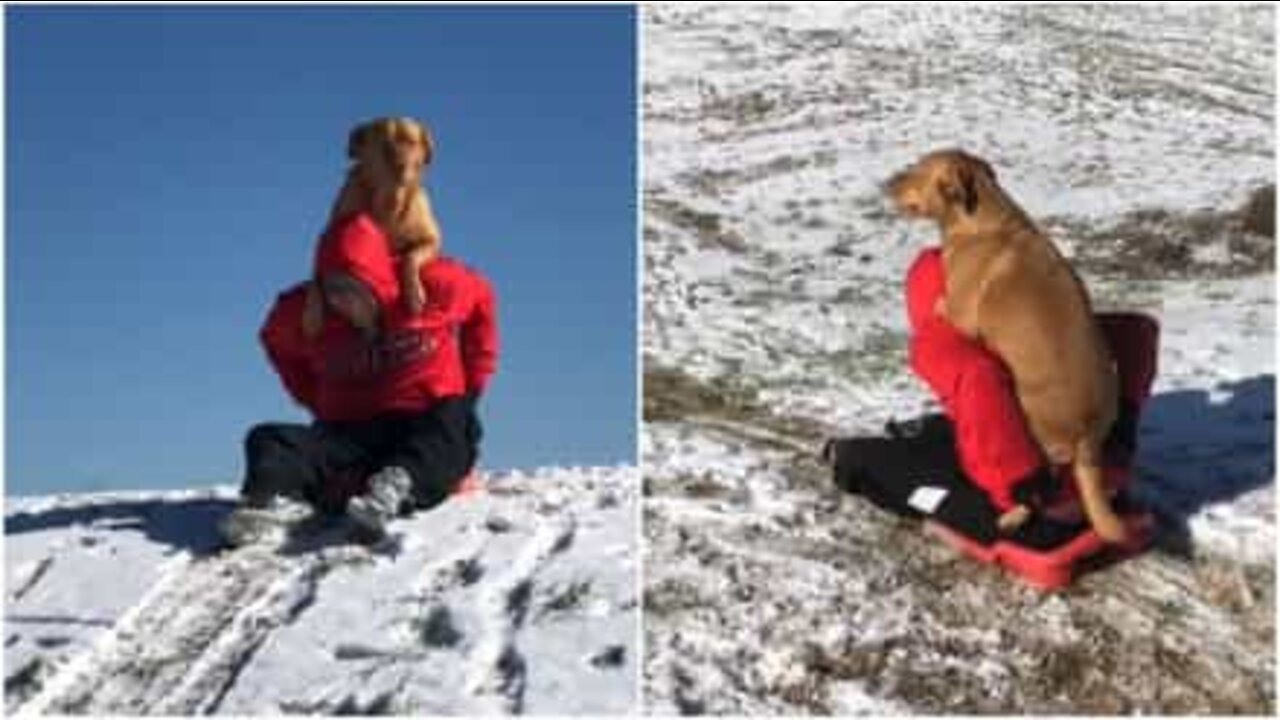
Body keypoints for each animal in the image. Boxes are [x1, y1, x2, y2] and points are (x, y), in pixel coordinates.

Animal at [302, 115, 442, 335]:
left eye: (411, 142)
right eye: (384, 144)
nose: (401, 165)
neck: (389, 200)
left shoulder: (431, 240)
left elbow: (410, 257)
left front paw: (413, 293)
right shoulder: (328, 237)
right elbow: (315, 277)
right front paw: (312, 312)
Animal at [885, 148, 1126, 540]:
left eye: (918, 172)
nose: (885, 183)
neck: (982, 218)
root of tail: (1088, 440)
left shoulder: (961, 314)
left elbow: (944, 305)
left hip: (1031, 427)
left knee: (1038, 490)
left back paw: (1013, 514)